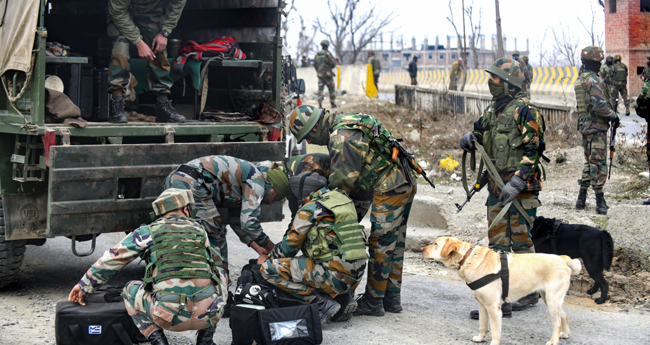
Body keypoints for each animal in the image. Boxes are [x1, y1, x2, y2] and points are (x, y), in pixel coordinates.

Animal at [422, 236, 580, 344]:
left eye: (435, 244)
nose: (422, 249)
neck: (468, 258)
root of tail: (562, 259)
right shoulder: (482, 304)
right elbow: (483, 324)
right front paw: (480, 338)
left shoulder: (493, 306)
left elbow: (495, 329)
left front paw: (494, 342)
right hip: (550, 299)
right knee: (564, 315)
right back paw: (565, 334)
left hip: (552, 299)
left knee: (557, 323)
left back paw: (553, 340)